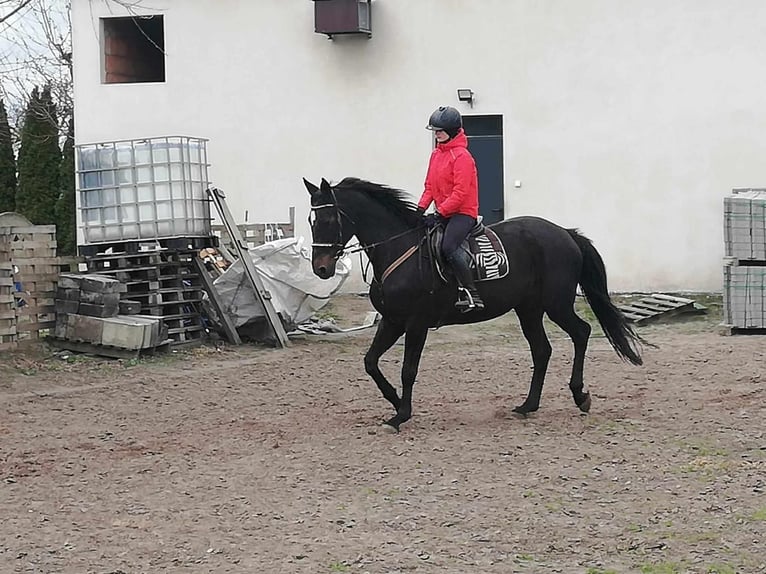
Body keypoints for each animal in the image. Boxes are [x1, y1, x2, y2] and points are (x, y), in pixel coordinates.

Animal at [303, 176, 643, 432]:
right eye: (310, 219)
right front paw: (395, 402)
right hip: (529, 309)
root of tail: (565, 233)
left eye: (329, 218)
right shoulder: (392, 320)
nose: (321, 268)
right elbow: (370, 362)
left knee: (581, 332)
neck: (399, 249)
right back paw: (527, 405)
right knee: (542, 350)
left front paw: (401, 414)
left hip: (555, 304)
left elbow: (408, 370)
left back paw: (579, 395)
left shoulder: (416, 323)